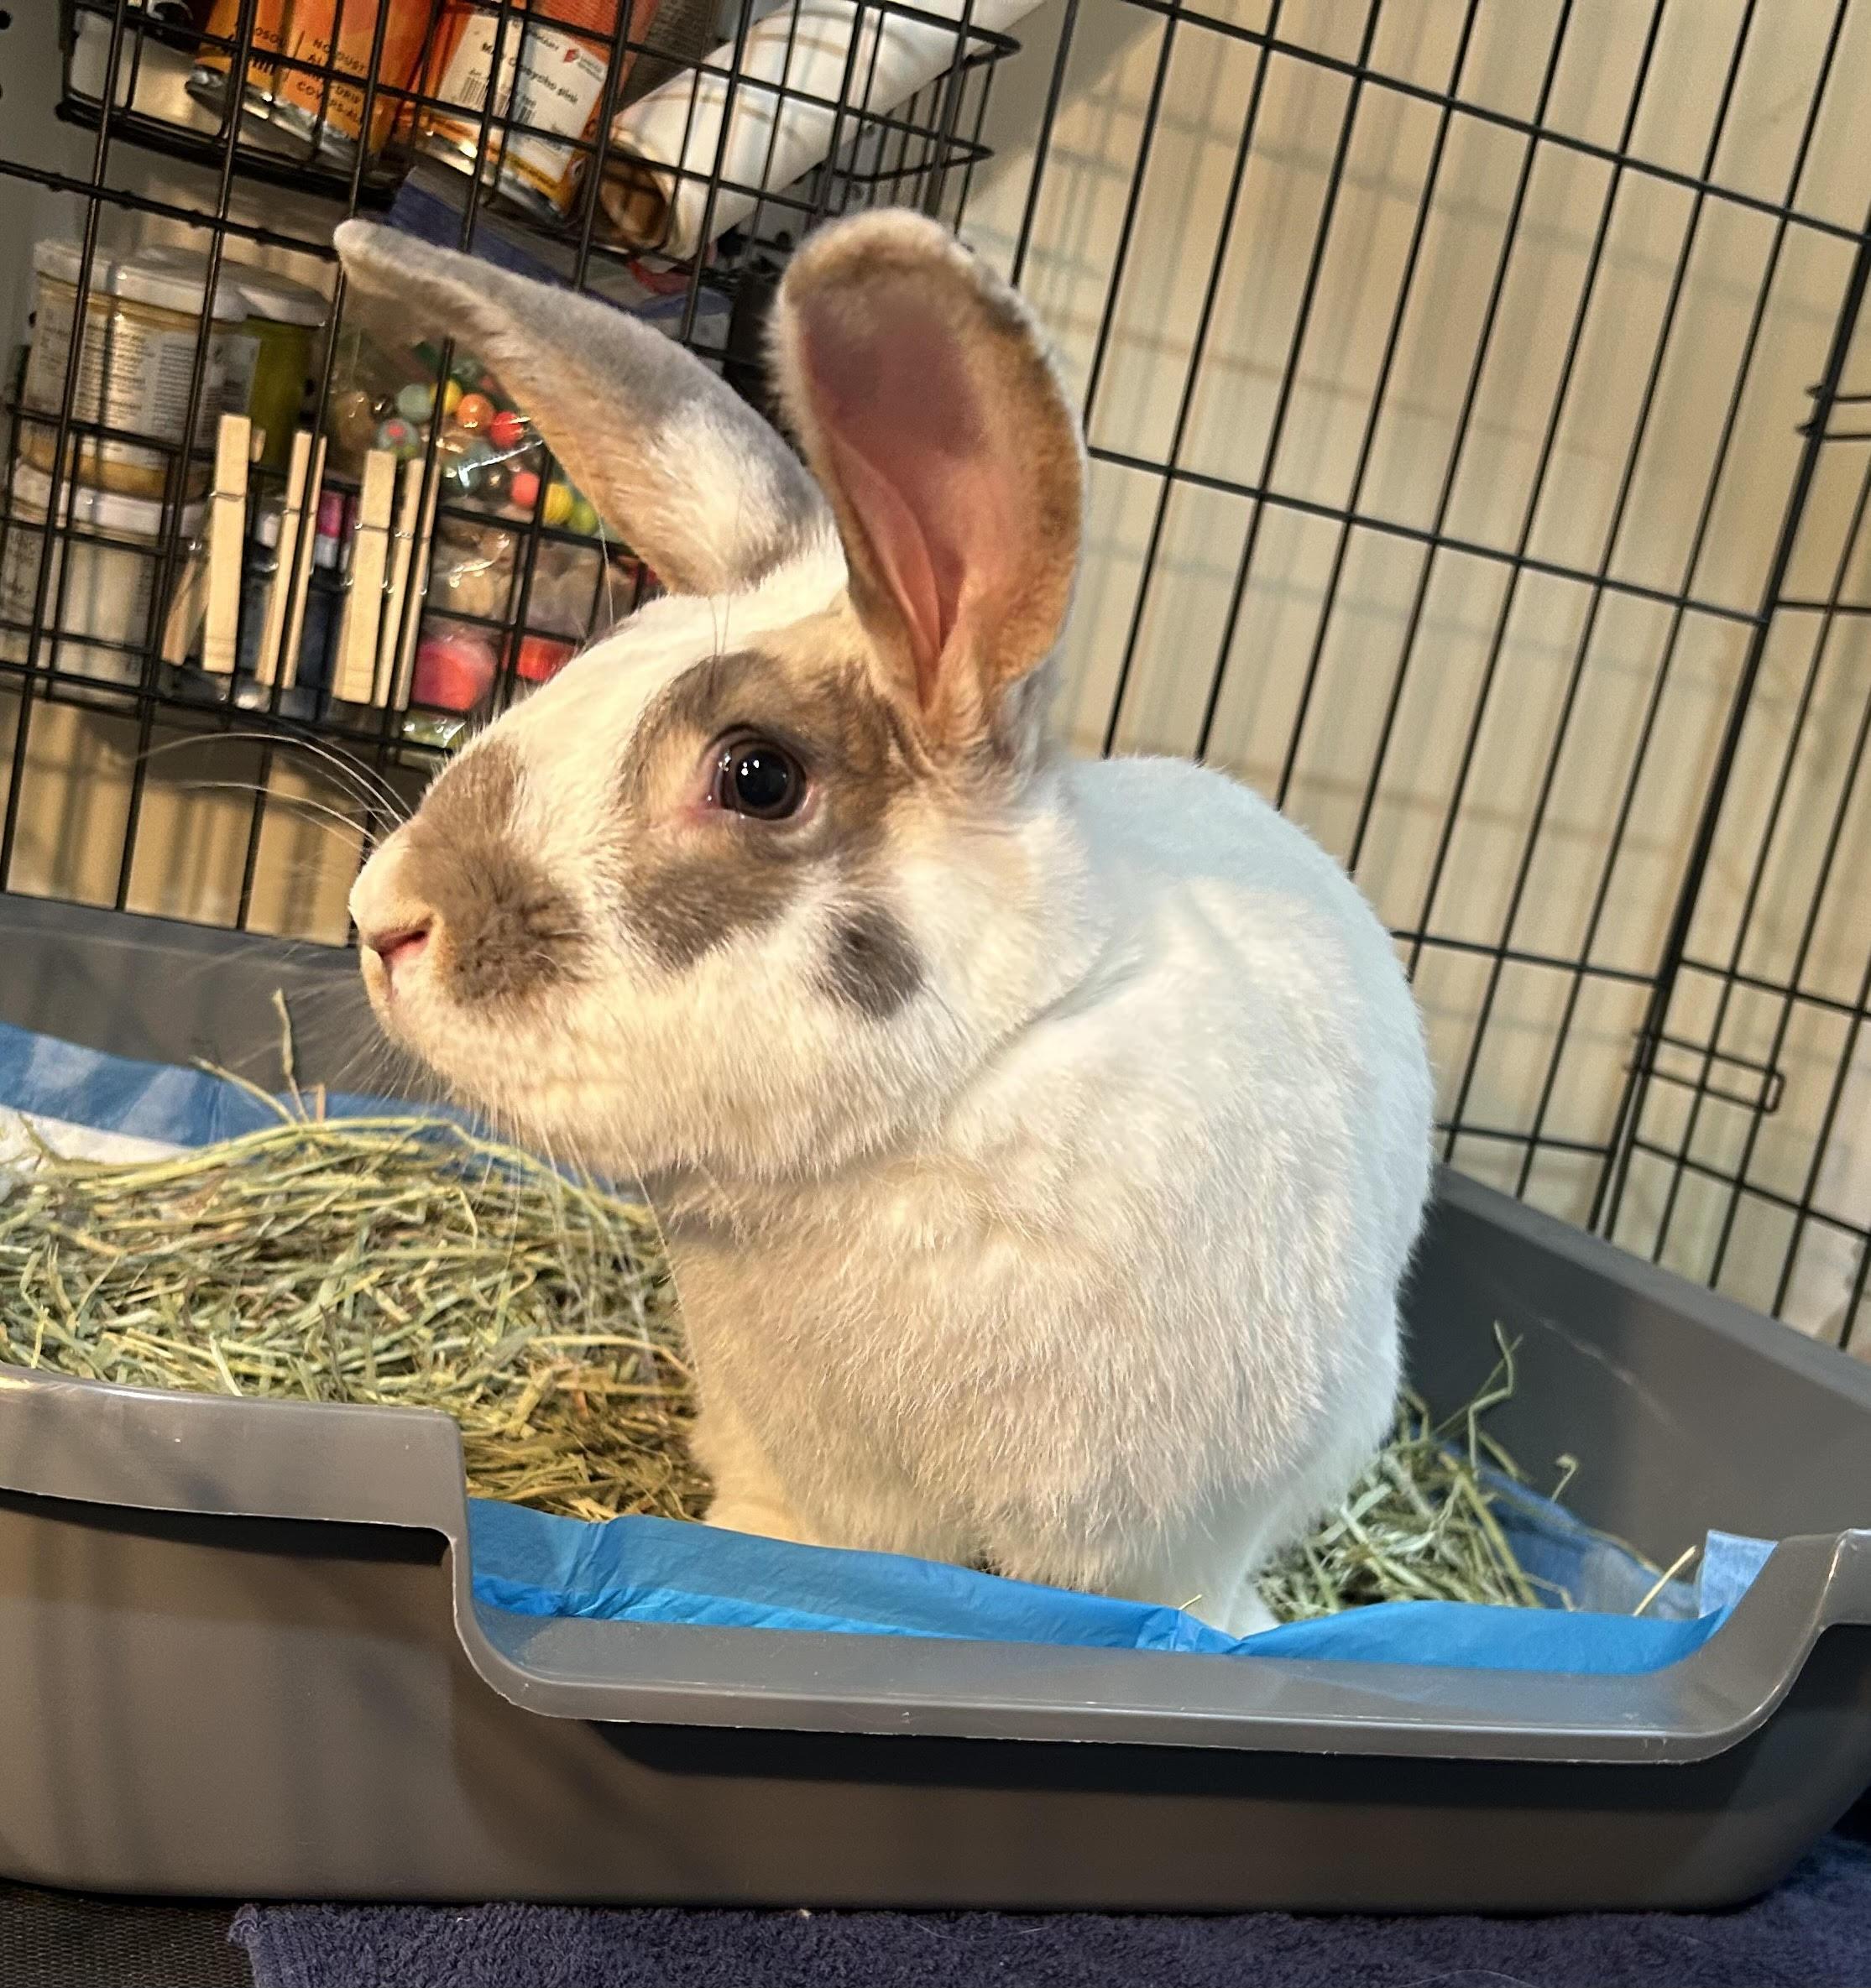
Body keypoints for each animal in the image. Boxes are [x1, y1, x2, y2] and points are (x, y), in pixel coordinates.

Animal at [335, 209, 1434, 1638]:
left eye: (757, 775)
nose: (383, 919)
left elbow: (1169, 1593)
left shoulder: (1179, 1534)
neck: (936, 1115)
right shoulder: (798, 1468)